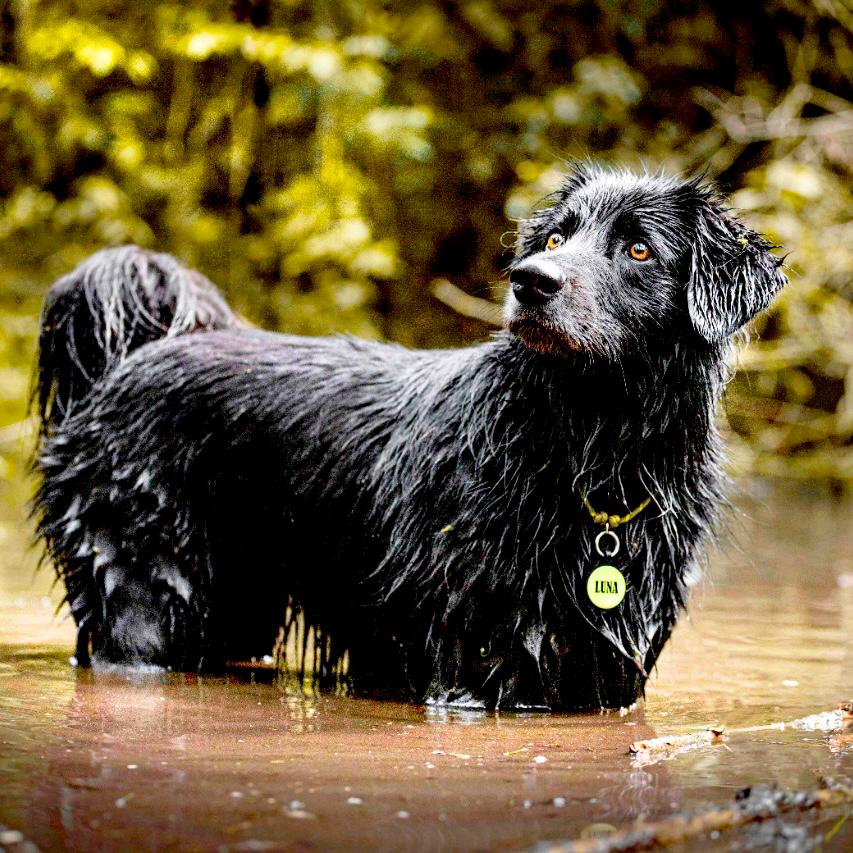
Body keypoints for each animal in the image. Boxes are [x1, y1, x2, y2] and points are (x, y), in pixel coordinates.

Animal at [31, 163, 784, 708]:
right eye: (554, 240)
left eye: (638, 248)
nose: (529, 281)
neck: (589, 448)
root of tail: (125, 365)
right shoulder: (468, 652)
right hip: (142, 591)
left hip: (234, 606)